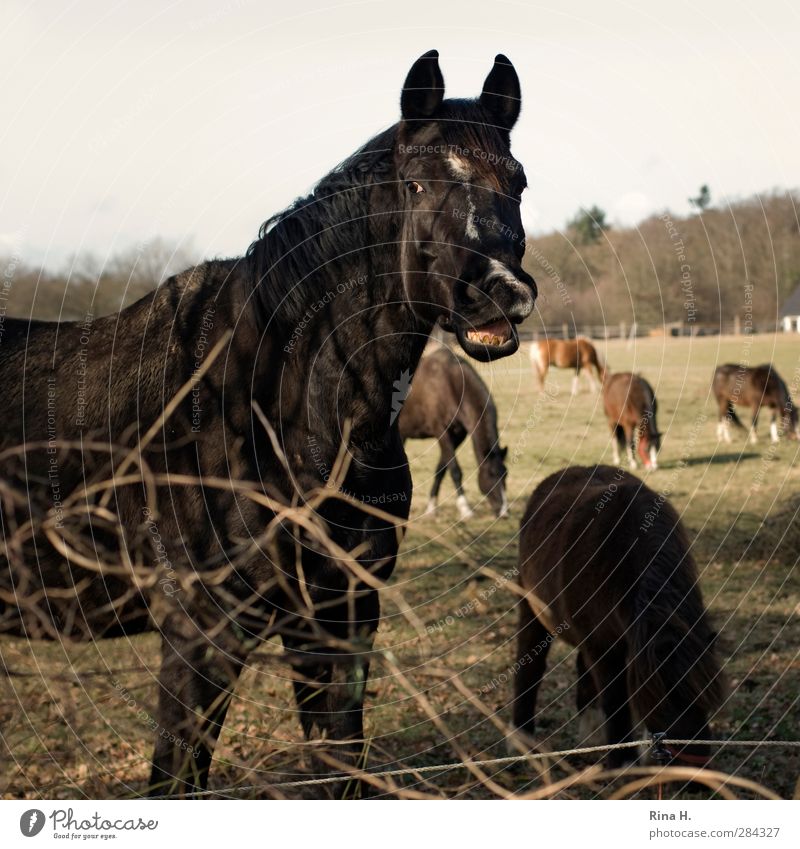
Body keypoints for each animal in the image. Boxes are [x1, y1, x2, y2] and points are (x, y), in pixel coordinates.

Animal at [396, 348, 510, 520]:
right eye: (490, 474)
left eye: (505, 475)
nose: (504, 513)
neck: (450, 383)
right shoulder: (441, 432)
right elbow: (455, 470)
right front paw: (465, 508)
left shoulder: (458, 436)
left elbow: (442, 469)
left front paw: (431, 507)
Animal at [512, 464, 724, 768]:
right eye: (665, 704)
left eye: (705, 698)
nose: (695, 768)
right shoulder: (604, 647)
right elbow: (615, 698)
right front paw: (623, 762)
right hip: (531, 607)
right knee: (530, 664)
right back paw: (522, 739)